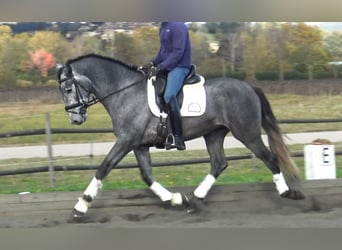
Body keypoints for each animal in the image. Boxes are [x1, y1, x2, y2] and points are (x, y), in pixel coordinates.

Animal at [56, 53, 304, 218]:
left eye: (68, 89)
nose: (75, 119)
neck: (124, 91)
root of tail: (250, 87)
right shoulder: (138, 144)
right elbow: (147, 175)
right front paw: (174, 198)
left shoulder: (126, 141)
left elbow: (104, 167)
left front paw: (82, 205)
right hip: (213, 134)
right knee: (219, 163)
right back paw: (194, 200)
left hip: (247, 133)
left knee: (269, 158)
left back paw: (287, 193)